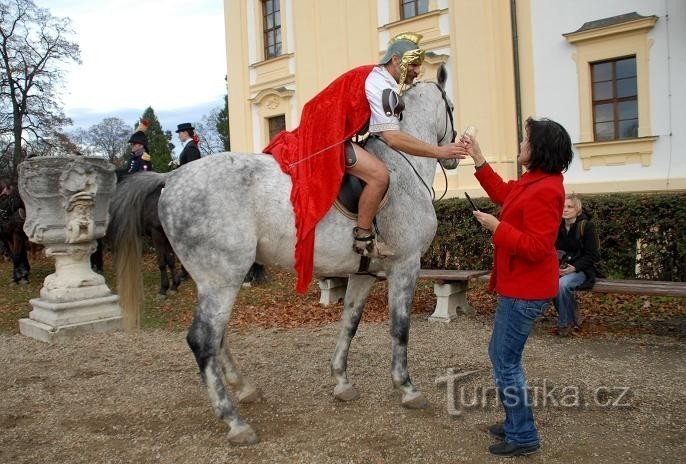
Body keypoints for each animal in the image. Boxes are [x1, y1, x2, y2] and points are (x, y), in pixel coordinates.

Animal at [110, 68, 460, 442]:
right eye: (451, 106)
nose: (453, 155)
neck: (400, 168)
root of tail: (171, 177)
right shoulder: (405, 267)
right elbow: (400, 328)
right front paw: (406, 387)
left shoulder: (362, 274)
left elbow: (348, 324)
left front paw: (341, 381)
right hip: (222, 280)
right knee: (203, 340)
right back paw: (233, 421)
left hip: (218, 282)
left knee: (217, 337)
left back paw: (245, 388)